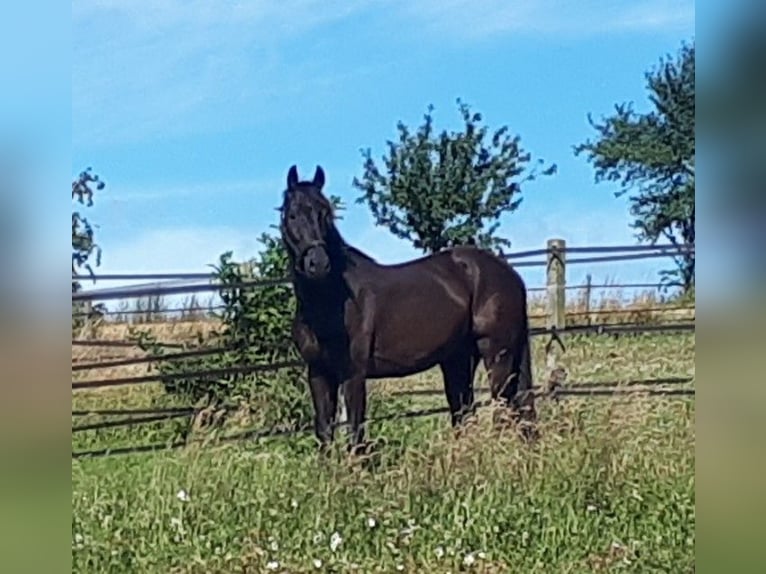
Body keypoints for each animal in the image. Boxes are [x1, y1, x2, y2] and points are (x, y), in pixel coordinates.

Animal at [280, 164, 536, 452]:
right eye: (291, 215)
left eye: (325, 214)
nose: (318, 263)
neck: (331, 301)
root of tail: (511, 275)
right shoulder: (319, 373)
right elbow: (325, 433)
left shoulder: (353, 373)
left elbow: (355, 432)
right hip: (459, 359)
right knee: (467, 415)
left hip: (497, 354)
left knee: (502, 411)